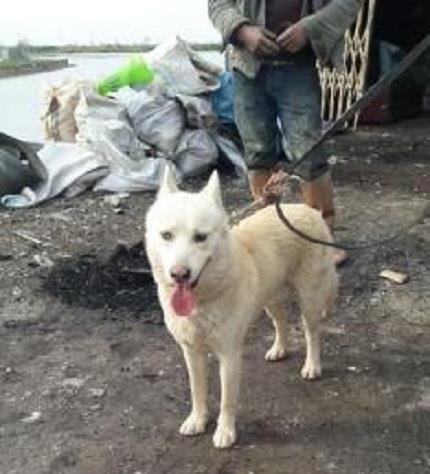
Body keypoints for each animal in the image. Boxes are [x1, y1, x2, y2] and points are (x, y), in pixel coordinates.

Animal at [145, 167, 338, 448]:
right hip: (269, 297)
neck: (204, 300)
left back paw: (312, 365)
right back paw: (279, 349)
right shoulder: (191, 352)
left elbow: (227, 400)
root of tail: (306, 208)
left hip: (309, 298)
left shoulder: (229, 355)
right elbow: (197, 390)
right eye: (166, 235)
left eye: (200, 237)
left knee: (312, 332)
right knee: (281, 321)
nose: (179, 274)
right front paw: (198, 420)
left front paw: (225, 432)